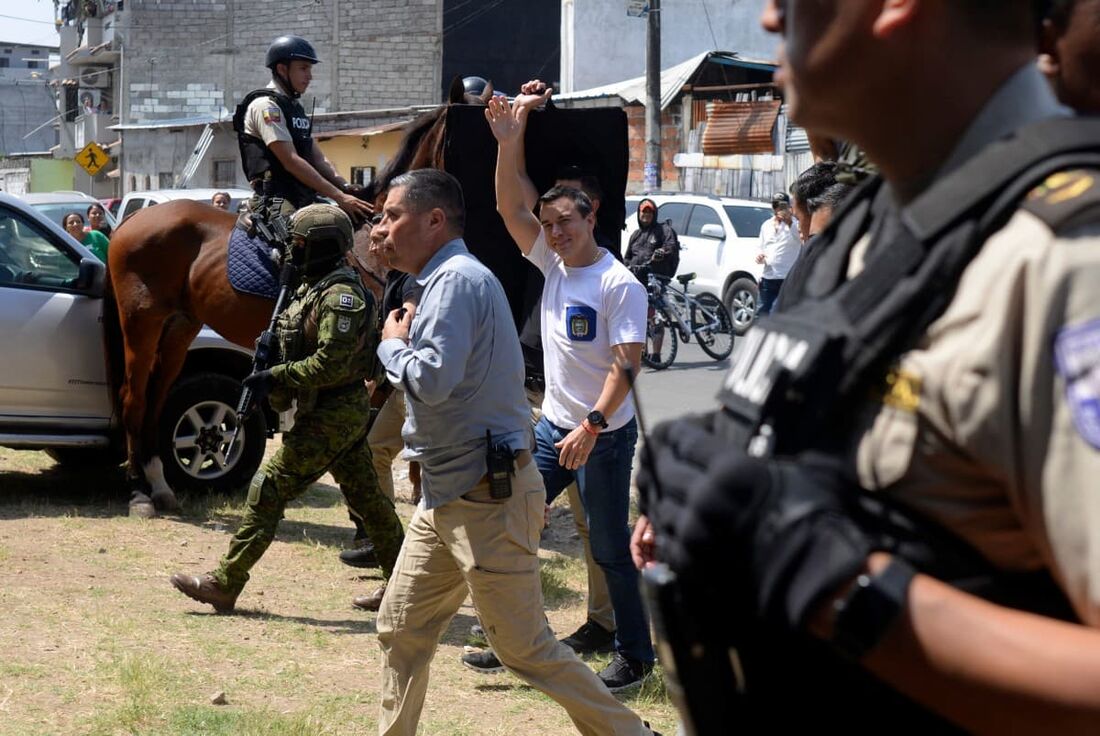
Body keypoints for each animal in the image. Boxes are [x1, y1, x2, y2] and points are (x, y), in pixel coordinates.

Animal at [105, 77, 492, 508]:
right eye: (469, 130)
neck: (375, 241)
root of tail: (131, 220)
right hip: (141, 324)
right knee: (134, 396)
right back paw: (140, 488)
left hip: (179, 327)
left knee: (157, 395)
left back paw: (157, 481)